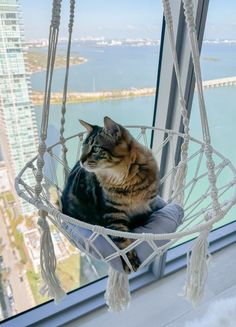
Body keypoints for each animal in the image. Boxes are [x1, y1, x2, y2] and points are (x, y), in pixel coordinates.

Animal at [61, 116, 160, 272]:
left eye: (95, 148)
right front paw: (131, 261)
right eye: (83, 147)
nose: (81, 160)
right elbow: (123, 242)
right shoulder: (113, 215)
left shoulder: (148, 206)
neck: (126, 180)